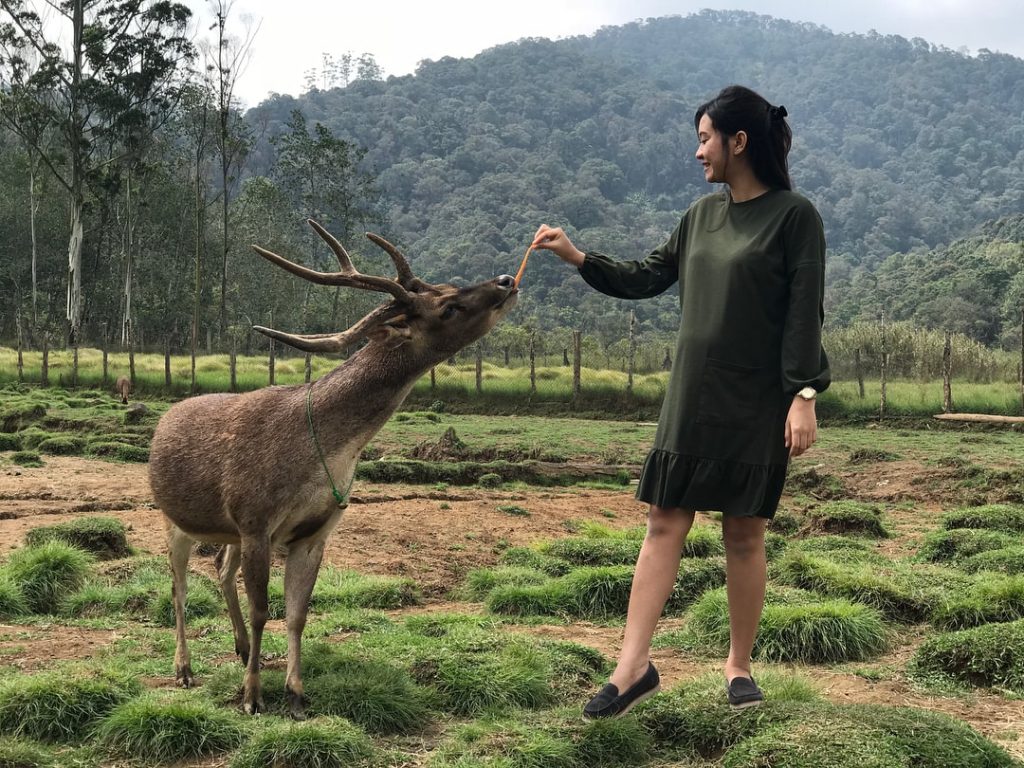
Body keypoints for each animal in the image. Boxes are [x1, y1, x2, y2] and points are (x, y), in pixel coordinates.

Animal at [149, 219, 520, 720]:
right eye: (448, 305)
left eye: (446, 287)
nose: (506, 280)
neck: (322, 453)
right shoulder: (255, 518)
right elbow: (263, 609)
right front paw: (252, 697)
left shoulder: (312, 531)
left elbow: (297, 613)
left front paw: (295, 693)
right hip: (174, 520)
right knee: (179, 588)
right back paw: (185, 669)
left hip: (226, 530)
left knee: (221, 570)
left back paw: (241, 649)